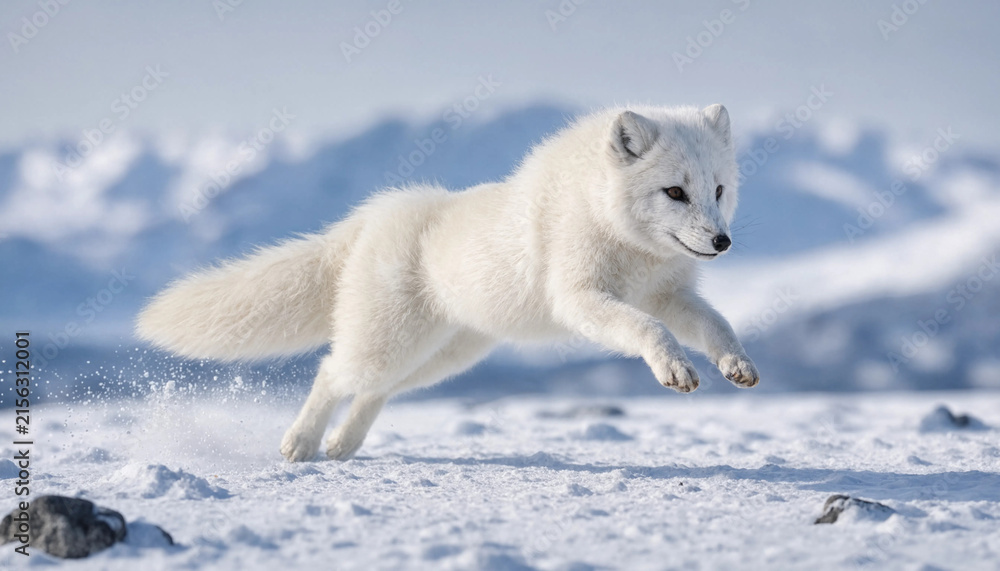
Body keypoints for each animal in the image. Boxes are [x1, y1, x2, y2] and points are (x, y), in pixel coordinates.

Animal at [136, 104, 759, 462]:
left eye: (717, 189)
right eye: (674, 192)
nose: (722, 242)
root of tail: (374, 214)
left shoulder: (671, 295)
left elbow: (715, 323)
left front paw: (736, 364)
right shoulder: (583, 299)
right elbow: (647, 330)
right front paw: (675, 369)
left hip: (445, 357)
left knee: (376, 390)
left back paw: (342, 445)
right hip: (390, 343)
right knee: (333, 371)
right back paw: (302, 444)